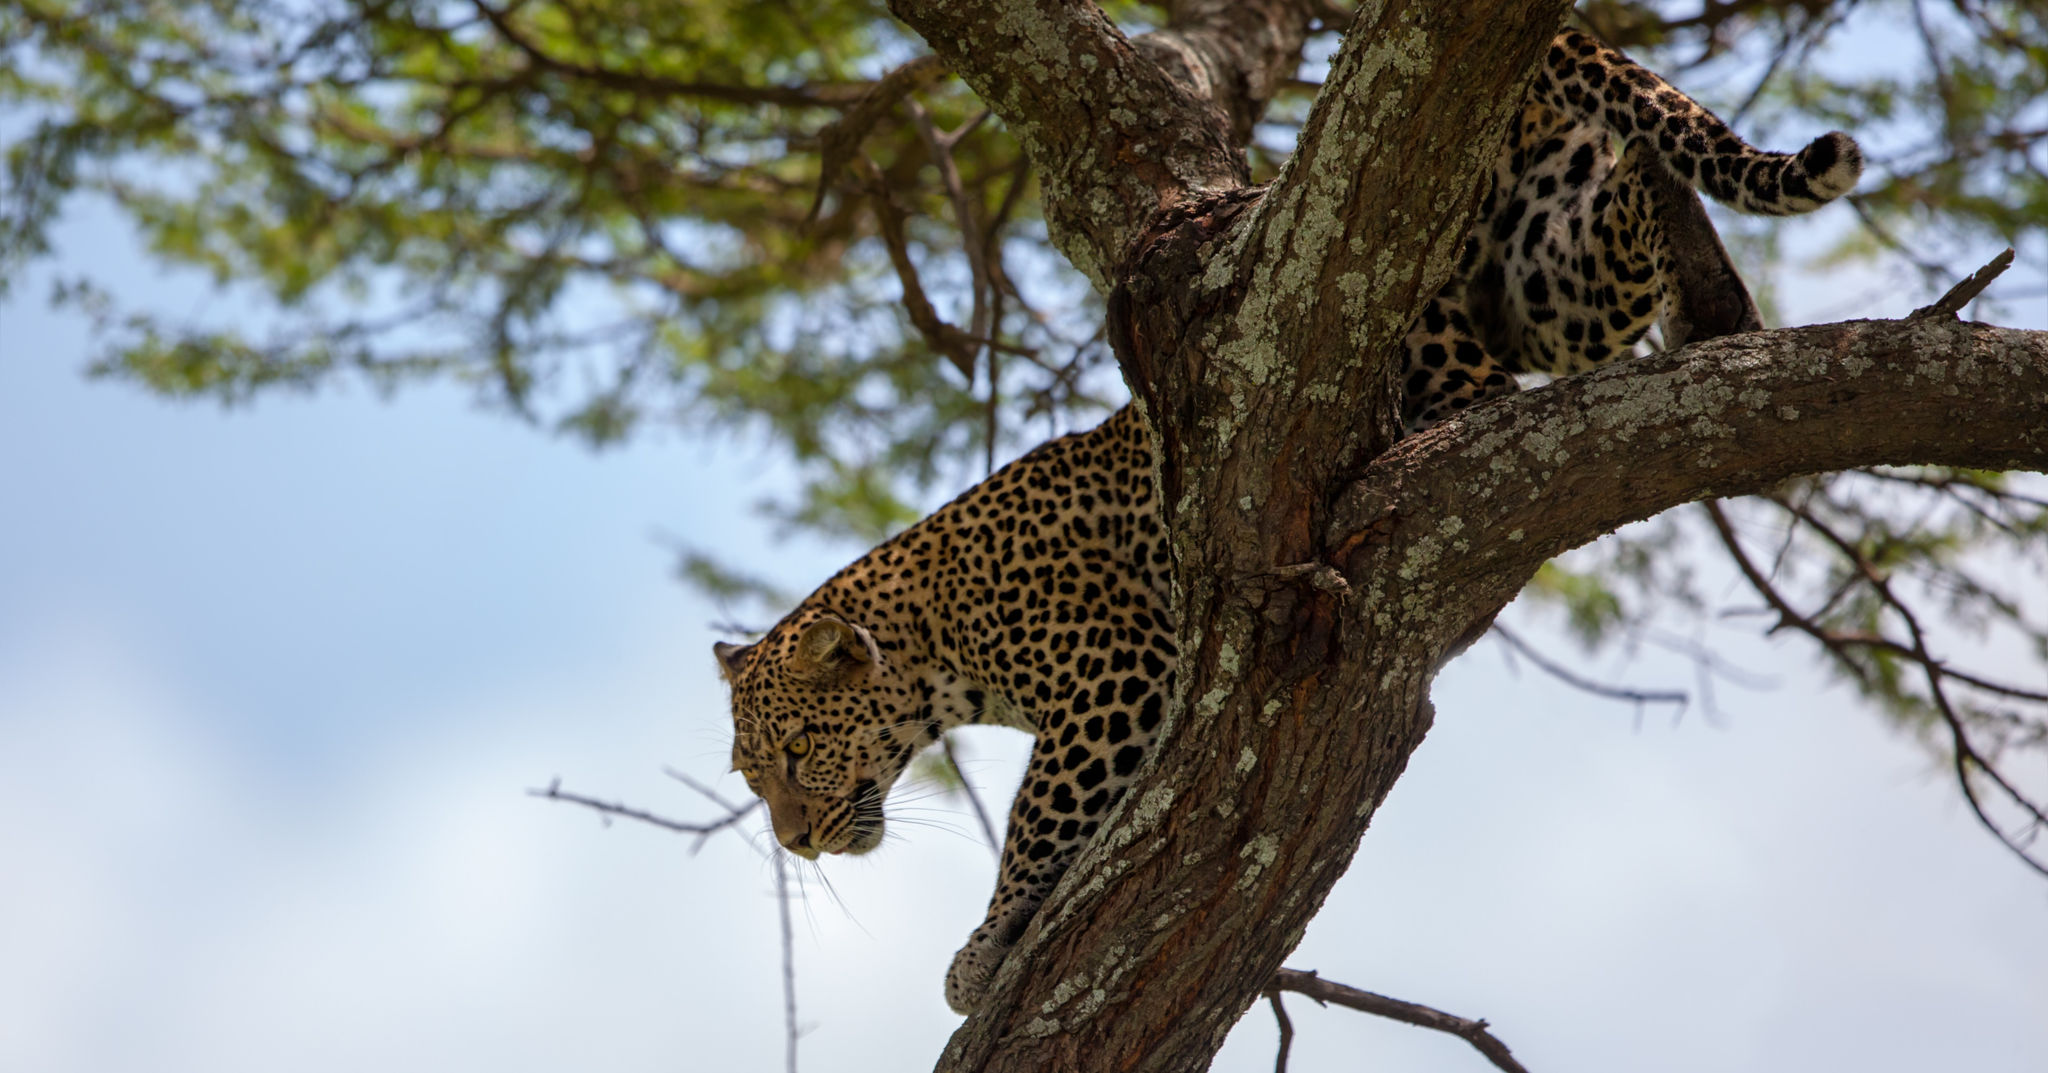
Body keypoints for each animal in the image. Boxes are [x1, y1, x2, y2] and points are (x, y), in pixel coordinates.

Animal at [716, 27, 1859, 1015]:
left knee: (1479, 389)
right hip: (1544, 267)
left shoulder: (1111, 671)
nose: (796, 842)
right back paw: (1691, 252)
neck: (936, 630)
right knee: (1622, 221)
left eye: (793, 750)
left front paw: (984, 945)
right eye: (751, 774)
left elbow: (1035, 817)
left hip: (1439, 298)